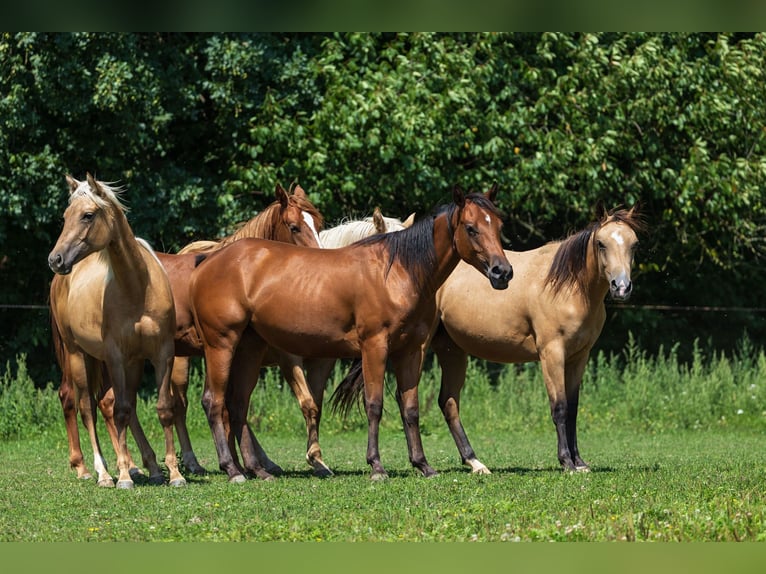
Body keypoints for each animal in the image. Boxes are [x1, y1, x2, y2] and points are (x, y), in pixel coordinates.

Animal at [48, 173, 181, 488]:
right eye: (65, 216)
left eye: (87, 215)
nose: (55, 259)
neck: (138, 288)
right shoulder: (117, 357)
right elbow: (120, 410)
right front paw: (122, 477)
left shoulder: (160, 354)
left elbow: (163, 408)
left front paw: (175, 473)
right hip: (77, 354)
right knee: (86, 406)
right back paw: (100, 472)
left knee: (109, 404)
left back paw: (144, 467)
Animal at [55, 183, 325, 480]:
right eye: (294, 227)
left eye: (319, 223)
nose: (319, 259)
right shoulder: (264, 354)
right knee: (83, 400)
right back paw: (94, 466)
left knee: (111, 402)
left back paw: (140, 465)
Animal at [189, 184, 512, 482]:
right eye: (471, 228)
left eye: (498, 225)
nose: (503, 272)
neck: (398, 272)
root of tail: (207, 262)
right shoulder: (374, 346)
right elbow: (374, 404)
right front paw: (376, 466)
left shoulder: (410, 351)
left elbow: (410, 407)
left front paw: (423, 465)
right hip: (221, 345)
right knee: (213, 401)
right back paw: (232, 470)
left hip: (249, 349)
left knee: (237, 403)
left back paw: (258, 470)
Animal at [428, 204, 643, 473]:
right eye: (601, 244)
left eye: (634, 244)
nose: (621, 287)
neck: (568, 287)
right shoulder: (552, 354)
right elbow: (559, 407)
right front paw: (566, 462)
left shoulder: (578, 357)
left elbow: (573, 408)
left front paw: (579, 462)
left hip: (452, 351)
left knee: (448, 402)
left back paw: (474, 462)